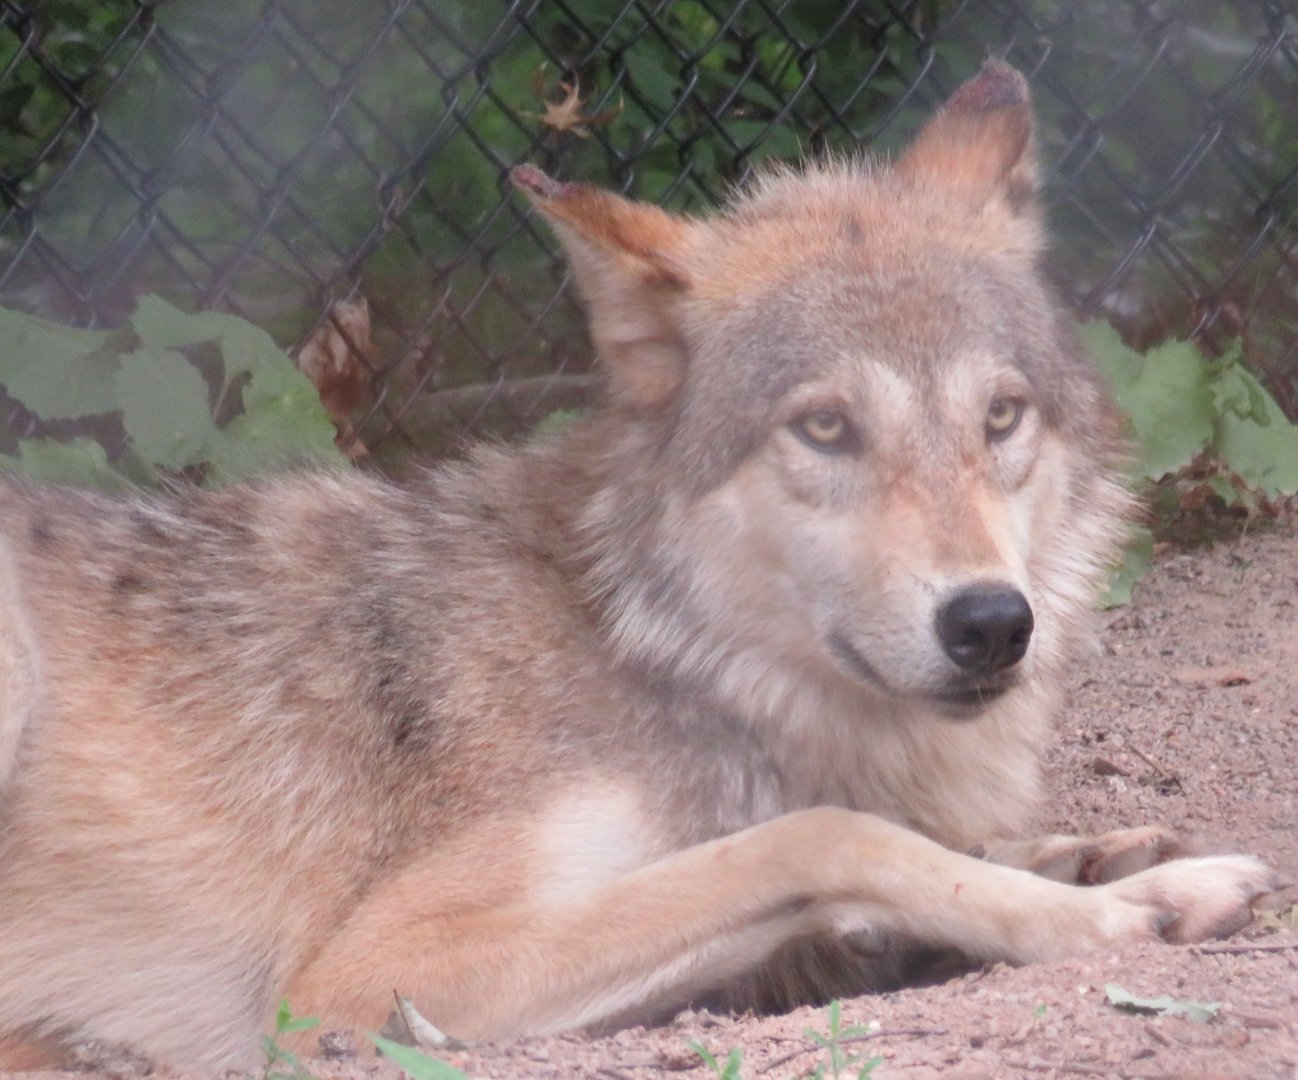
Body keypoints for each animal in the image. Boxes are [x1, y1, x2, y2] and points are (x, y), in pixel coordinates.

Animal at [0, 61, 1274, 1070]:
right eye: (823, 428)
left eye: (999, 416)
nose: (989, 624)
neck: (661, 652)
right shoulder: (363, 976)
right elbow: (829, 838)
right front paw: (1130, 909)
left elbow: (900, 866)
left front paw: (1087, 862)